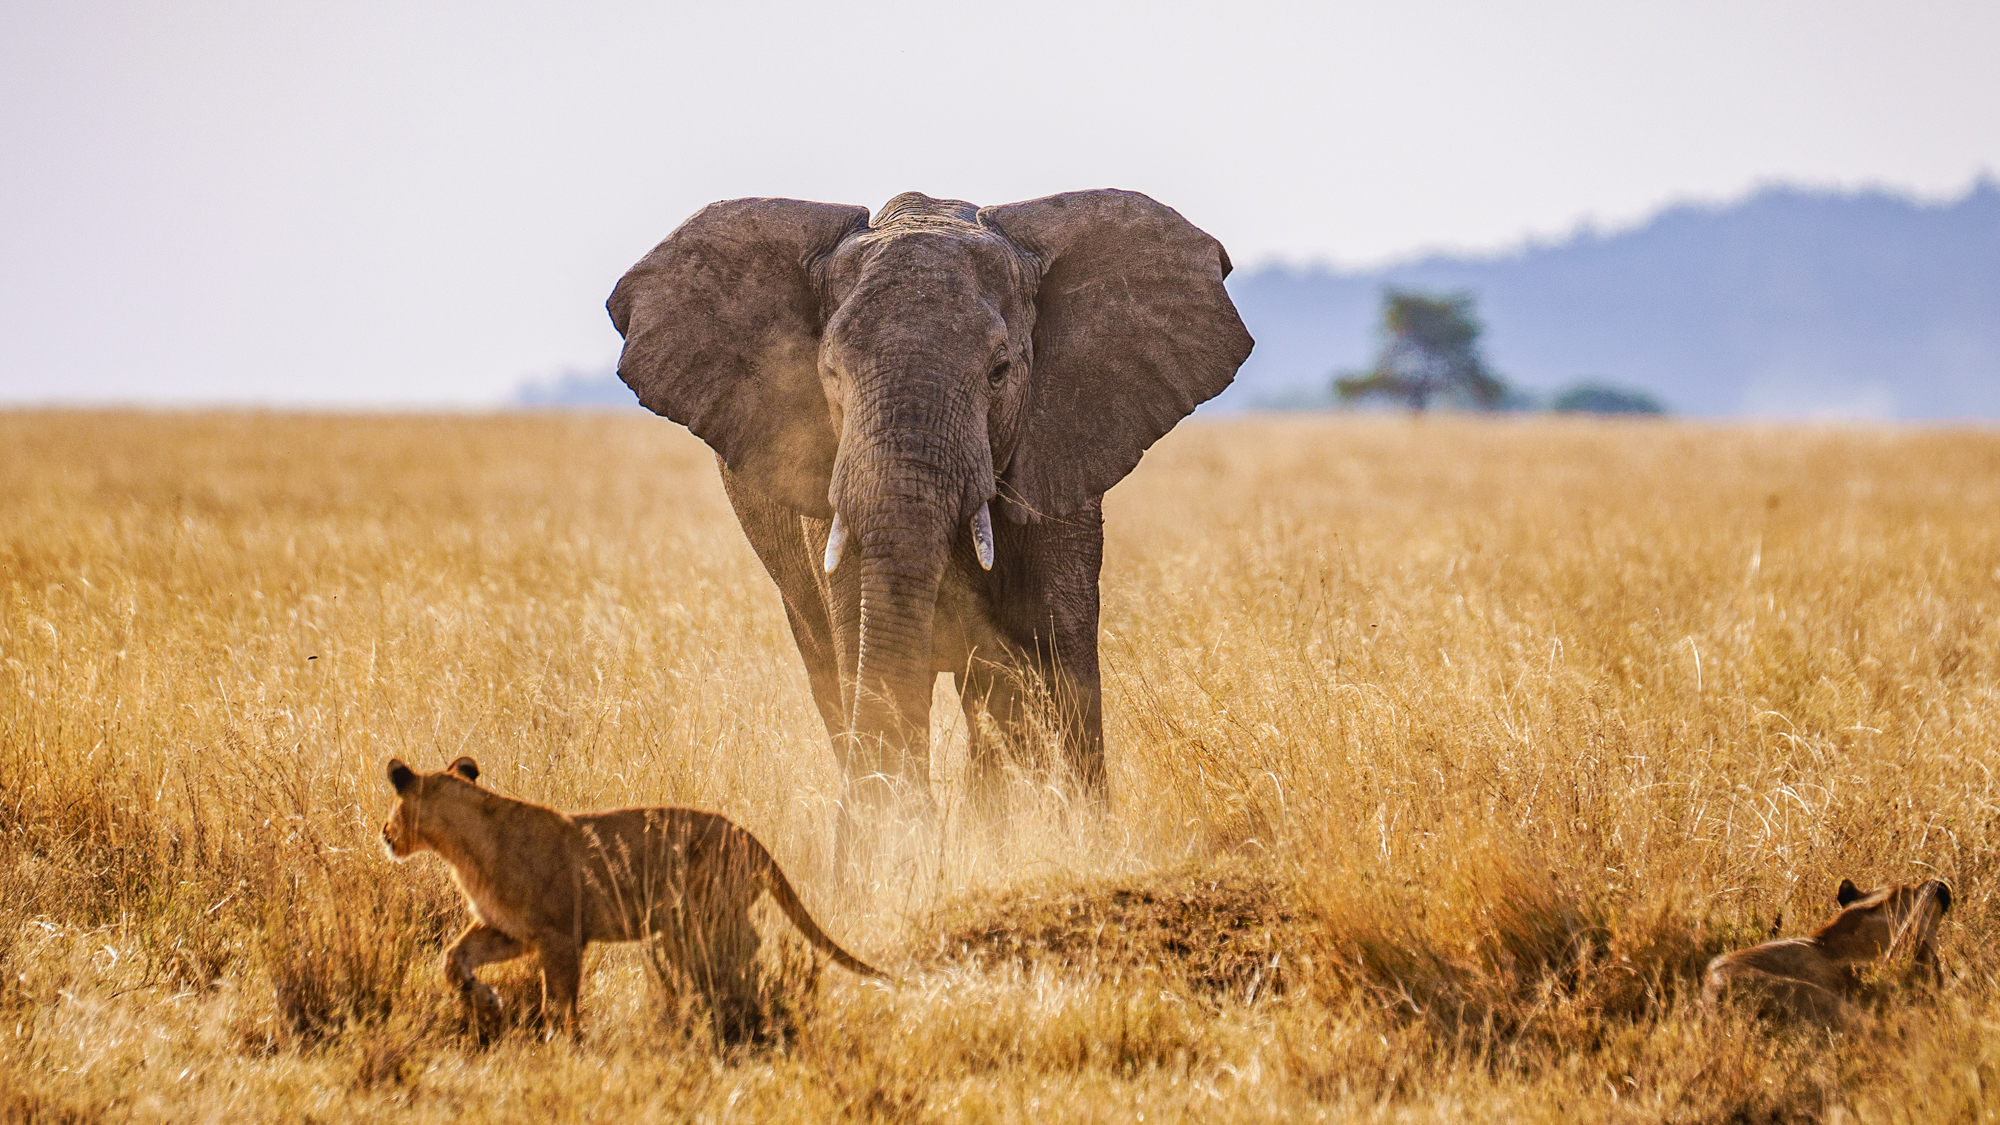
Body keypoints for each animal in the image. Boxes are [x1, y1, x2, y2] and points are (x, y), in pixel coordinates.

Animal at [382, 752, 884, 1032]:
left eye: (393, 809)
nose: (385, 834)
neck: (460, 848)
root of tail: (750, 838)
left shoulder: (561, 934)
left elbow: (557, 1000)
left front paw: (561, 1046)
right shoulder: (511, 931)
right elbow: (454, 958)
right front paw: (487, 1002)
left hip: (698, 914)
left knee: (741, 952)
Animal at [608, 186, 1256, 848]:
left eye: (999, 371)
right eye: (830, 373)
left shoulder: (1059, 458)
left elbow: (1058, 644)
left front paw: (1075, 839)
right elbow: (867, 641)